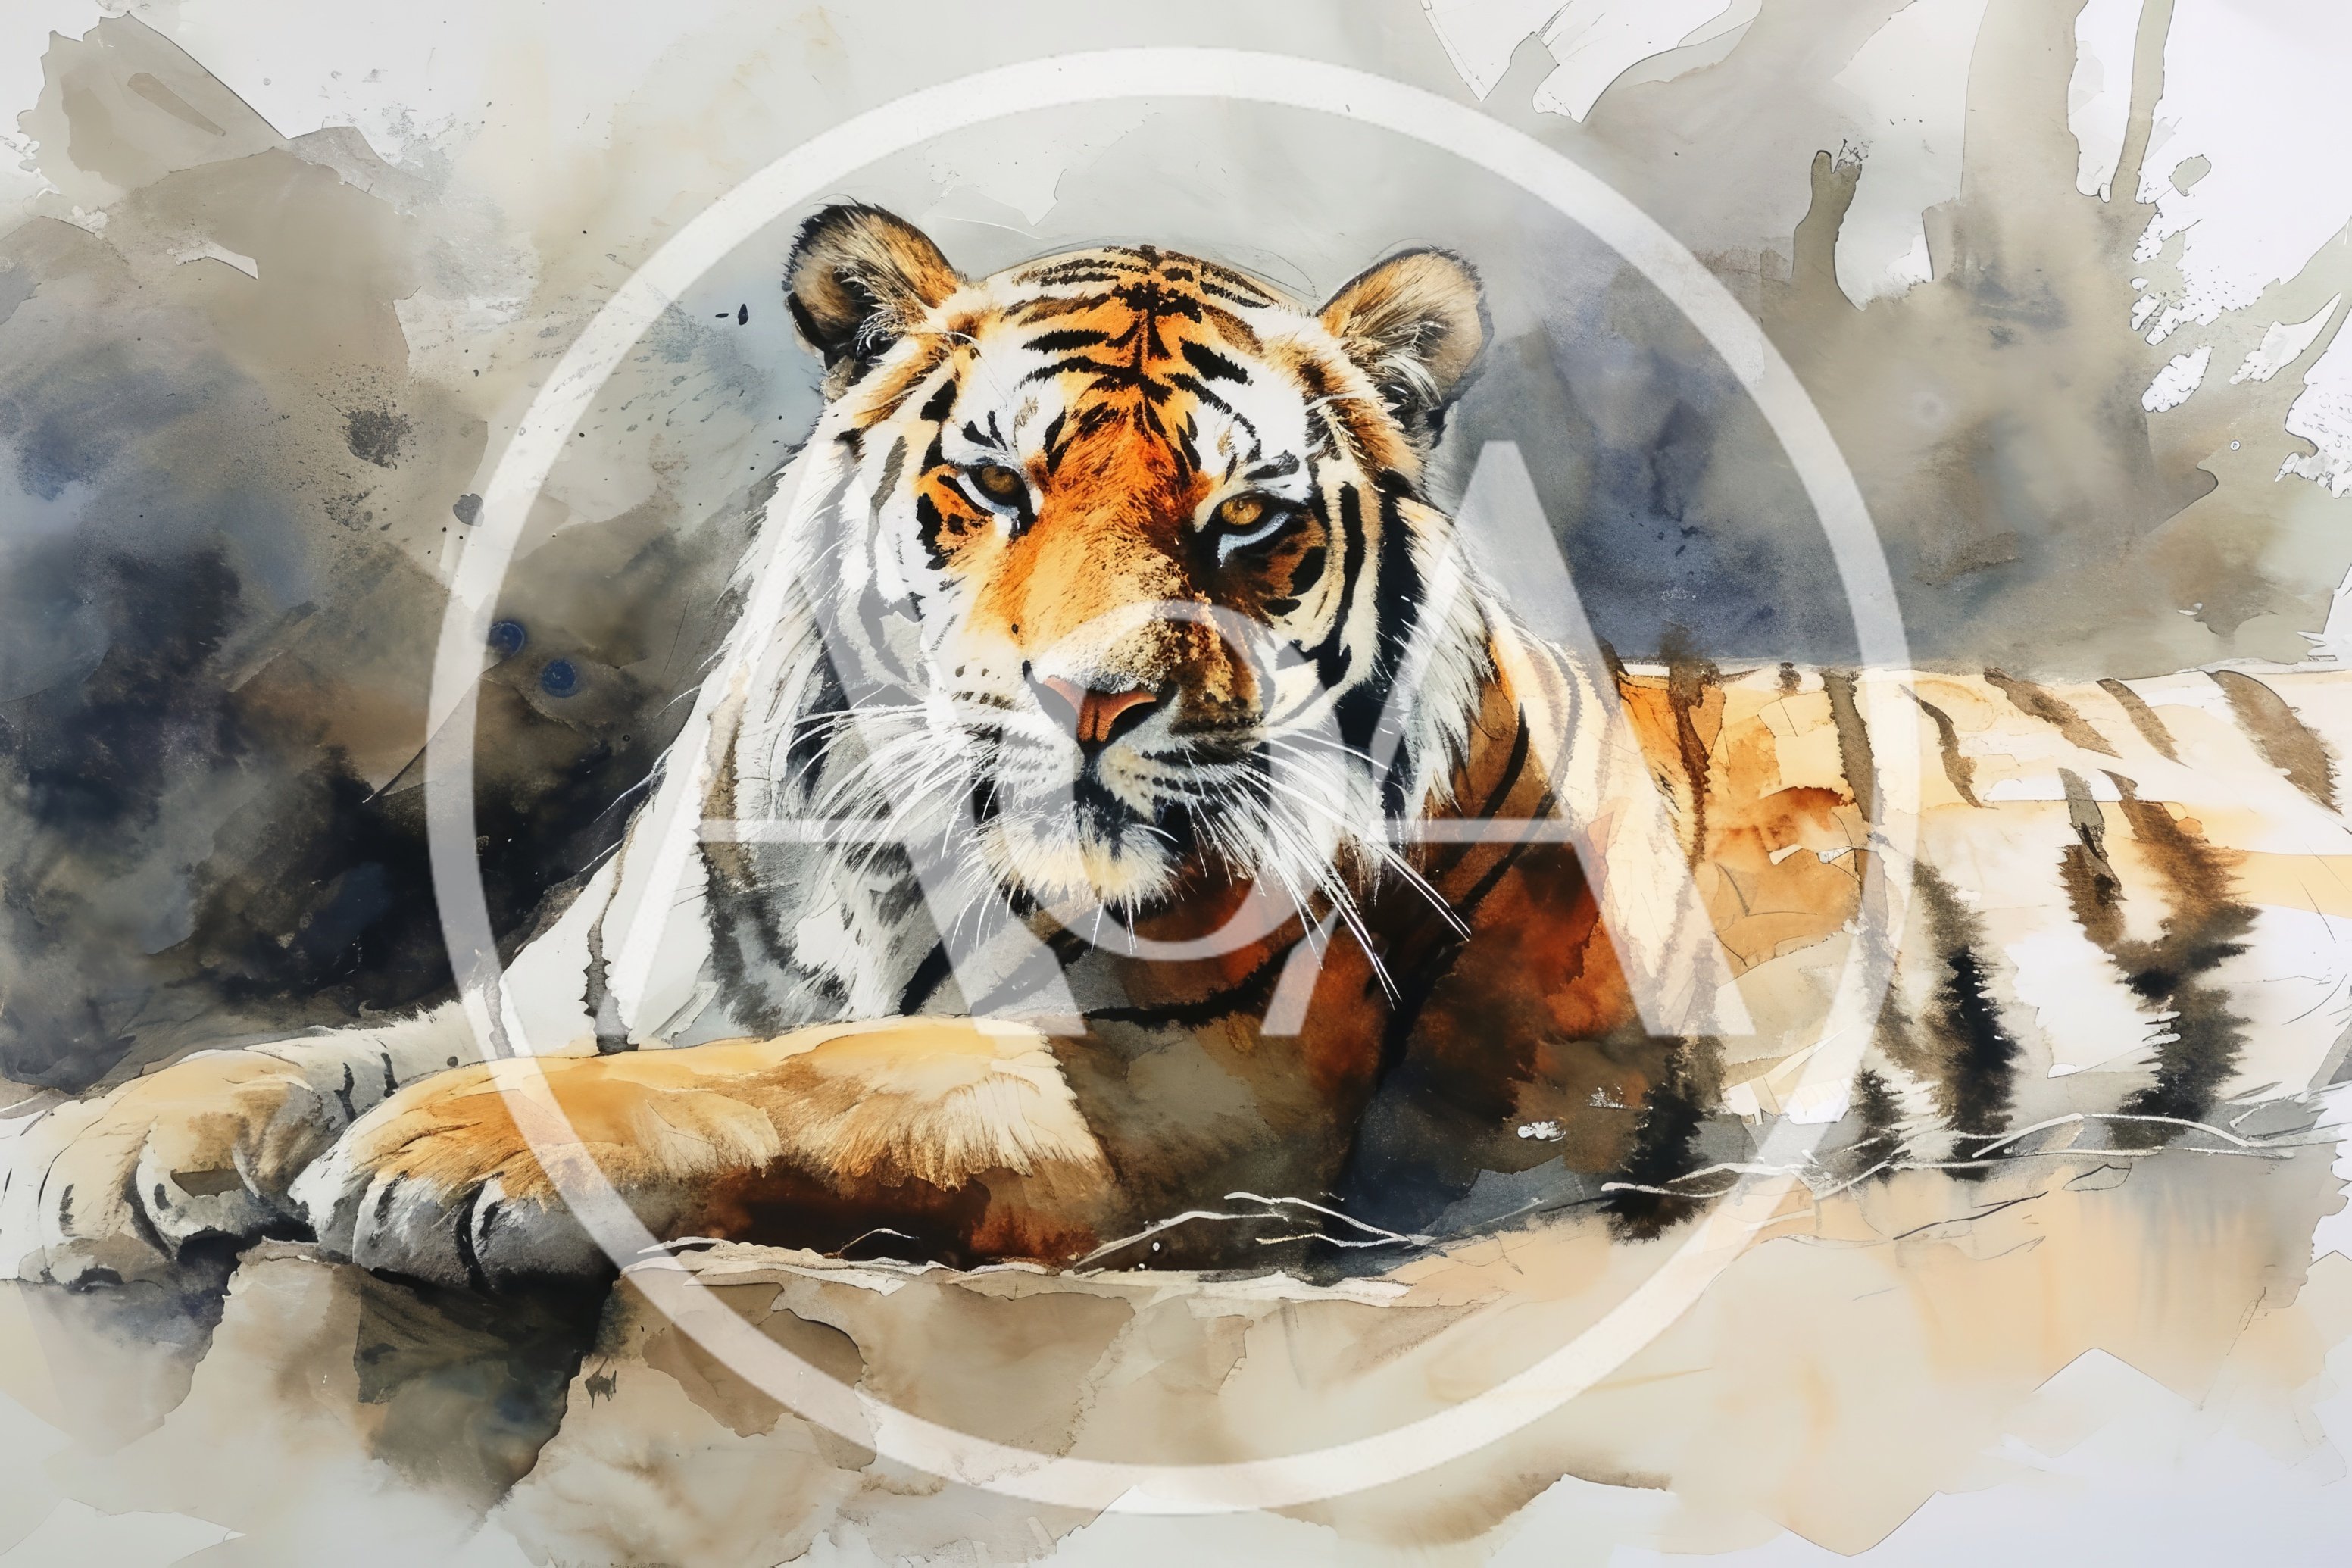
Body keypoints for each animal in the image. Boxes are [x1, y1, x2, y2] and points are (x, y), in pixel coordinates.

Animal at [4, 204, 2347, 1292]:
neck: (869, 851)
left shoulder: (1200, 1095)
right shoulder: (578, 973)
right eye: (992, 487)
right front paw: (108, 1140)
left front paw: (465, 1157)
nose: (1090, 695)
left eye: (1243, 526)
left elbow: (816, 1072)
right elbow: (348, 1038)